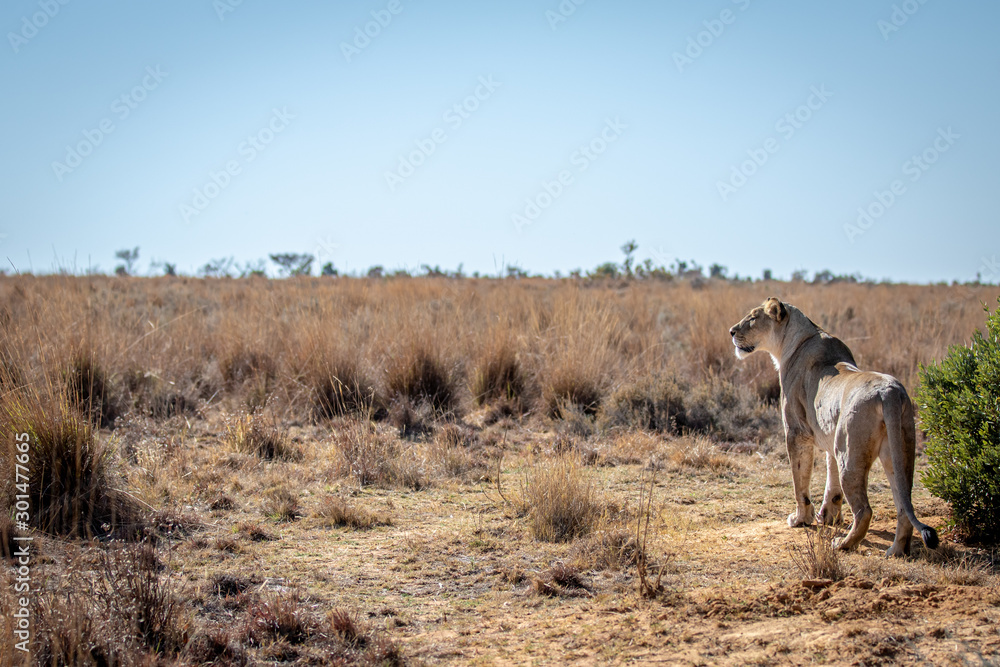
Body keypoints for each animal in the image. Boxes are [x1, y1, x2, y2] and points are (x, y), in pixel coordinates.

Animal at [729, 297, 938, 557]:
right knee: (904, 503)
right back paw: (896, 551)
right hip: (899, 451)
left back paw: (843, 544)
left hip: (850, 453)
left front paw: (802, 519)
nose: (731, 332)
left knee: (865, 510)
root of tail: (889, 393)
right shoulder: (830, 435)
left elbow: (800, 481)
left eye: (753, 318)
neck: (794, 341)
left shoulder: (797, 432)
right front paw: (828, 517)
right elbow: (832, 482)